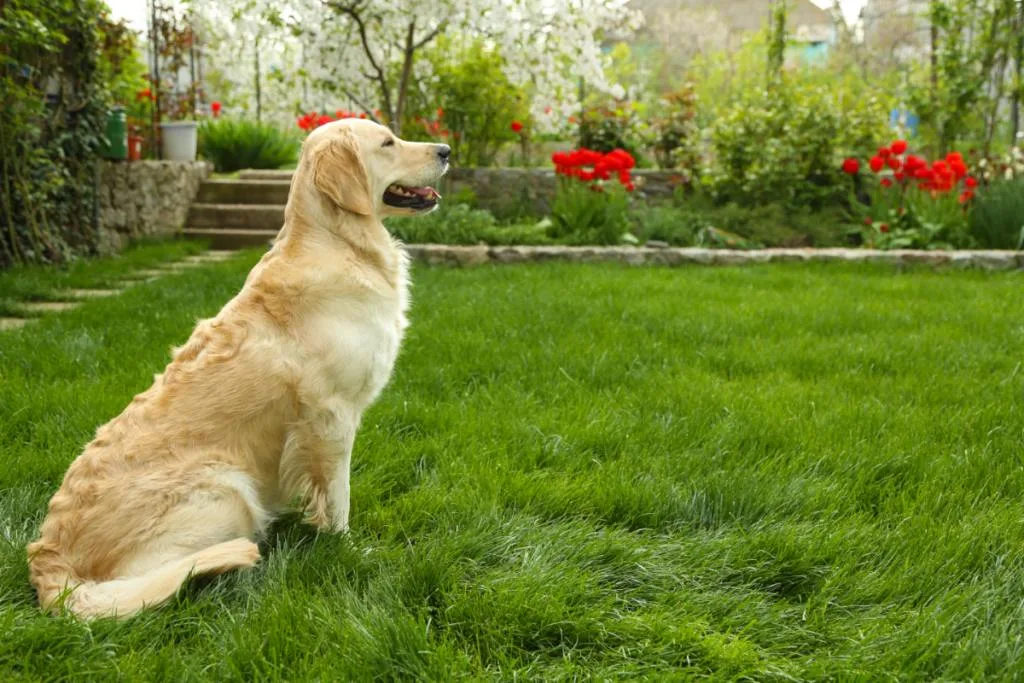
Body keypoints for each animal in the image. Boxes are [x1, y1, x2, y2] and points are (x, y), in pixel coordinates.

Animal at [25, 117, 450, 618]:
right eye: (387, 142)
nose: (446, 150)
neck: (338, 242)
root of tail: (50, 562)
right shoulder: (332, 415)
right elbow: (338, 496)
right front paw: (348, 548)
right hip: (226, 487)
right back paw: (234, 558)